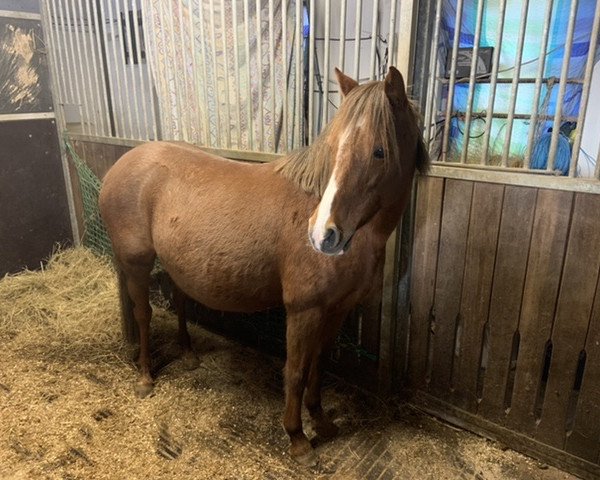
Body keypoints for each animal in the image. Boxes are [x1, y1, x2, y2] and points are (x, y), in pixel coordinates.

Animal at [98, 67, 426, 464]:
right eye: (333, 148)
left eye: (379, 152)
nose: (323, 235)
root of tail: (122, 165)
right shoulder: (303, 310)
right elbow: (296, 371)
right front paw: (298, 438)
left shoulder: (336, 309)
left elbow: (319, 365)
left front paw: (322, 422)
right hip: (136, 263)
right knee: (143, 314)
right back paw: (145, 377)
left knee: (179, 302)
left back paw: (189, 355)